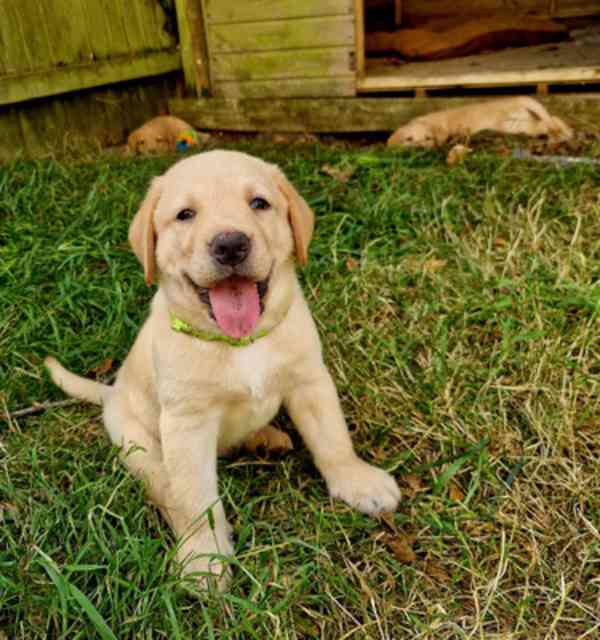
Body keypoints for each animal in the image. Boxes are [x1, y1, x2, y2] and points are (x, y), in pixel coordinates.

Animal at [45, 151, 401, 590]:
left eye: (259, 203)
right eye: (185, 215)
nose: (230, 245)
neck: (241, 343)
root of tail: (110, 392)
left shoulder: (310, 380)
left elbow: (333, 438)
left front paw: (357, 481)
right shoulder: (187, 422)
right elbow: (195, 496)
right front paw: (204, 556)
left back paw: (265, 439)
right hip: (136, 441)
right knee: (165, 489)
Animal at [387, 97, 573, 149]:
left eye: (428, 138)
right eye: (408, 139)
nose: (420, 149)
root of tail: (522, 99)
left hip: (512, 125)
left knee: (544, 125)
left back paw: (560, 137)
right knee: (553, 118)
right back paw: (568, 132)